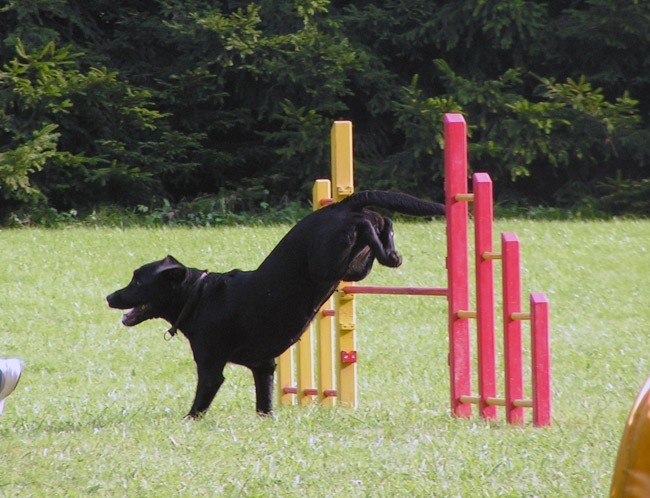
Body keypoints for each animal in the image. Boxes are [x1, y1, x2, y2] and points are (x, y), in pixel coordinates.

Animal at [107, 191, 440, 416]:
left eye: (137, 281)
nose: (109, 297)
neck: (197, 297)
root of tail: (342, 205)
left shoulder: (210, 368)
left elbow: (197, 407)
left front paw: (188, 422)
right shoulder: (264, 367)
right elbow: (264, 405)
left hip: (328, 263)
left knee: (367, 224)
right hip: (353, 268)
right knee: (382, 225)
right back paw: (392, 246)